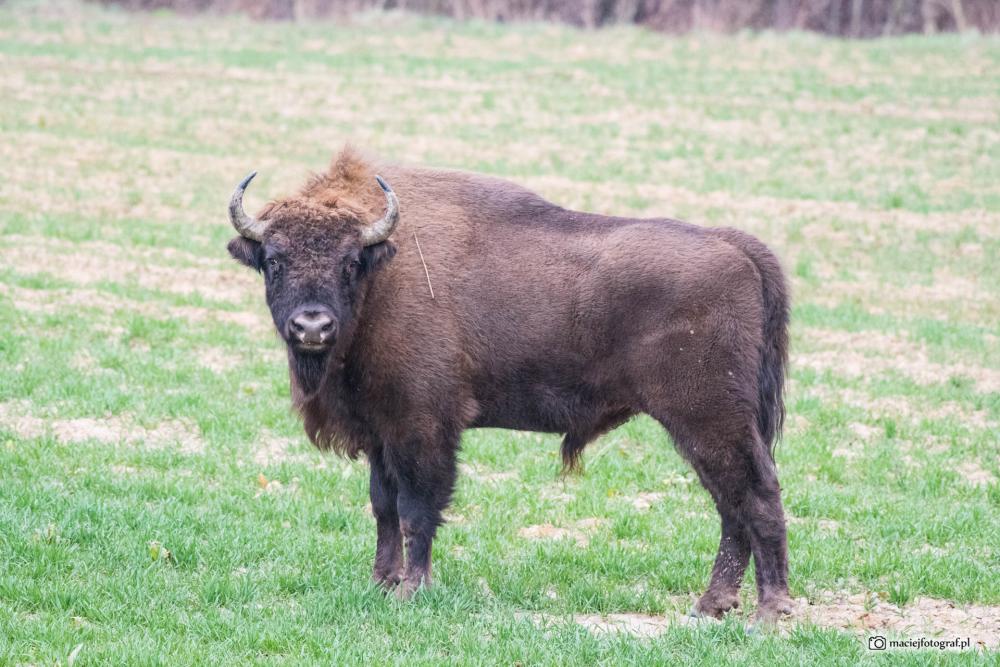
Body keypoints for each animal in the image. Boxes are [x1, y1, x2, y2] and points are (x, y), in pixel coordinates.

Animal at [229, 149, 796, 624]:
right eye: (273, 260)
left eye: (349, 263)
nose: (312, 326)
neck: (381, 273)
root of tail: (735, 246)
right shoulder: (380, 433)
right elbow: (383, 508)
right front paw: (381, 584)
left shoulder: (422, 429)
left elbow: (417, 511)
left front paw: (411, 590)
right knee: (731, 506)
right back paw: (712, 606)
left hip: (709, 420)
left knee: (754, 496)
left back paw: (767, 612)